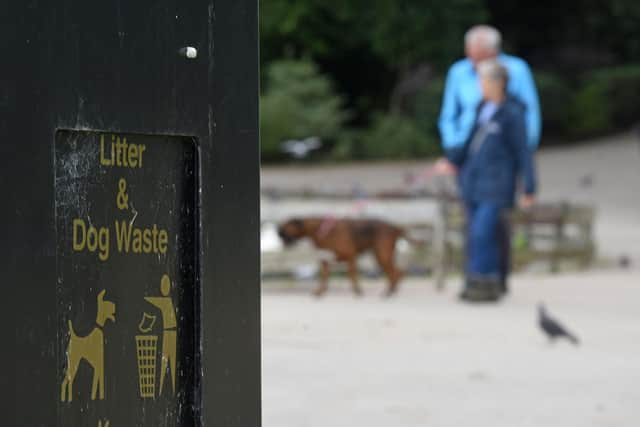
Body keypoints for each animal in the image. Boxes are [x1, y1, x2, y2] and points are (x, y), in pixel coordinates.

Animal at [278, 217, 408, 298]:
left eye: (284, 230)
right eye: (281, 232)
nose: (278, 233)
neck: (321, 230)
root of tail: (396, 228)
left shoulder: (351, 257)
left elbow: (352, 276)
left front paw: (357, 292)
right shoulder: (325, 261)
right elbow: (324, 278)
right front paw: (320, 292)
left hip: (382, 255)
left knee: (395, 273)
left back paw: (389, 293)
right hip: (384, 255)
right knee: (397, 272)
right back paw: (391, 292)